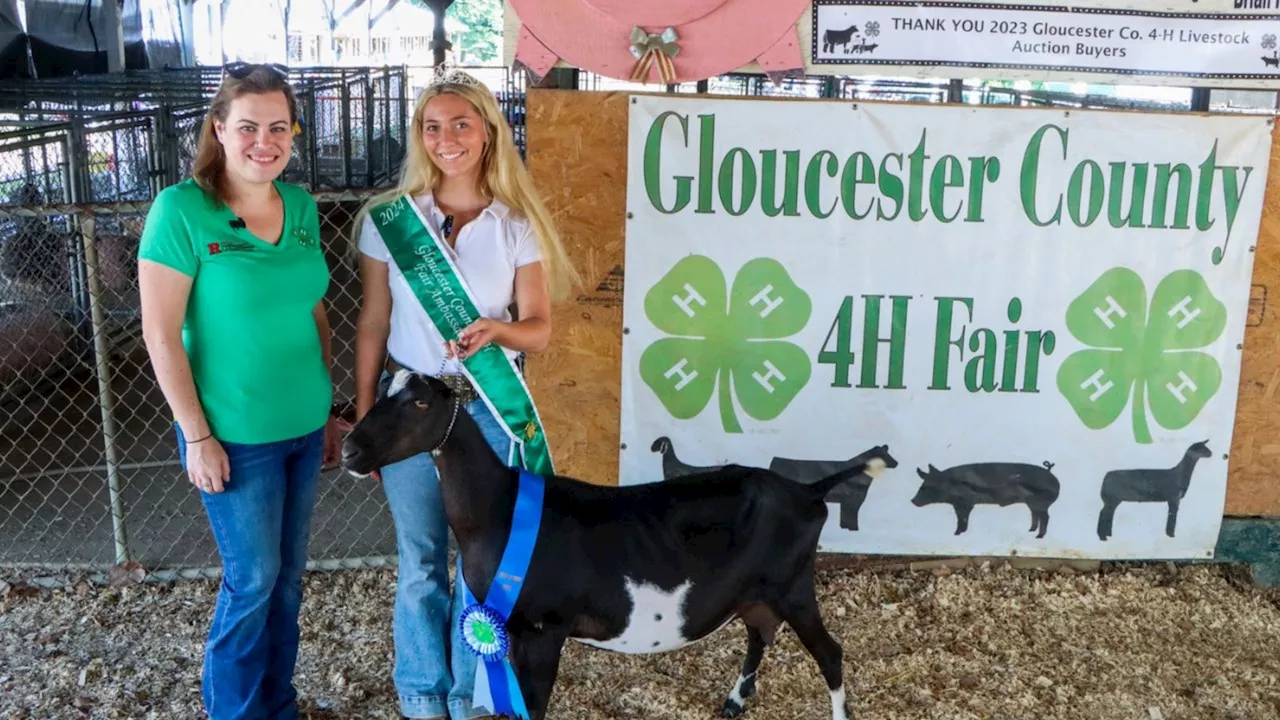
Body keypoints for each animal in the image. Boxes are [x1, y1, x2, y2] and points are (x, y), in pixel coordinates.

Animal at [335, 368, 885, 717]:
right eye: (381, 390)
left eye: (420, 402)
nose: (349, 450)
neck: (499, 510)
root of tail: (809, 492)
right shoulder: (509, 626)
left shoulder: (543, 627)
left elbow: (534, 705)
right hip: (756, 590)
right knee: (760, 633)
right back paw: (732, 703)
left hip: (794, 586)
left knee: (830, 654)